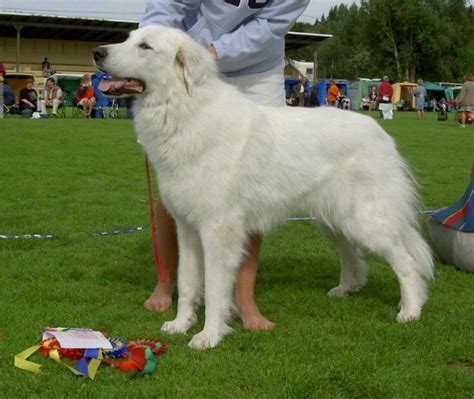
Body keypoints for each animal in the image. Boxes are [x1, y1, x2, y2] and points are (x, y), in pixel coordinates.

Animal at [94, 25, 436, 350]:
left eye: (145, 46)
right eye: (129, 38)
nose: (98, 52)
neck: (183, 109)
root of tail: (381, 133)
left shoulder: (218, 230)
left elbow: (216, 289)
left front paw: (209, 336)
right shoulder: (187, 228)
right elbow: (188, 282)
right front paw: (181, 324)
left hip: (366, 219)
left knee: (406, 263)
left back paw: (410, 311)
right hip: (333, 220)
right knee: (352, 254)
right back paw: (346, 289)